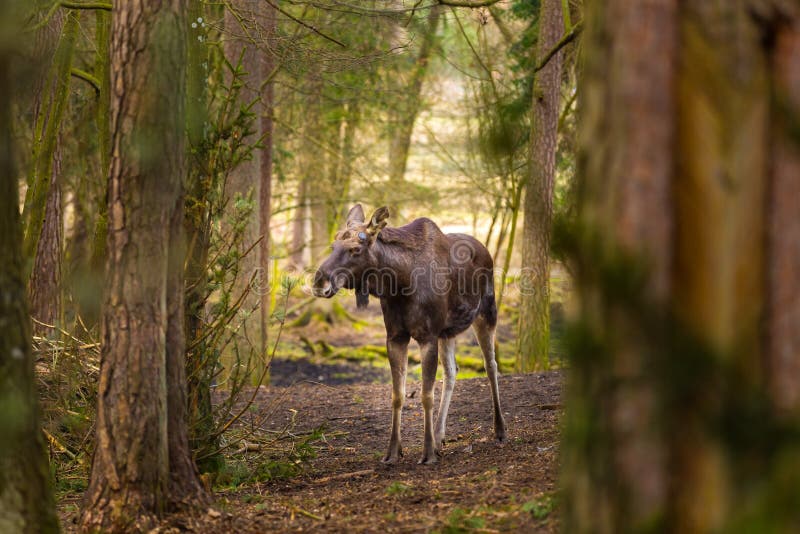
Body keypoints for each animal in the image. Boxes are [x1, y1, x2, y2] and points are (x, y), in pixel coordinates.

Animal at [312, 204, 506, 465]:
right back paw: (439, 435)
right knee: (452, 371)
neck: (399, 283)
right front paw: (394, 451)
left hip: (486, 312)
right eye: (333, 245)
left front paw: (427, 452)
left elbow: (425, 396)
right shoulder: (396, 336)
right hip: (448, 332)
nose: (319, 282)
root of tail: (485, 250)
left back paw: (499, 429)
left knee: (491, 365)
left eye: (355, 249)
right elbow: (398, 395)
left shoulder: (428, 336)